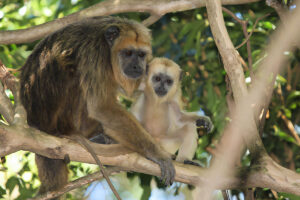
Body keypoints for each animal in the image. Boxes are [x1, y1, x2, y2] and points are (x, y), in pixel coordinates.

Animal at [20, 16, 176, 197]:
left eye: (141, 54)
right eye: (128, 53)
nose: (137, 67)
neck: (109, 47)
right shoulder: (94, 53)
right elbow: (102, 107)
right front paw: (157, 154)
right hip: (56, 118)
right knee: (74, 72)